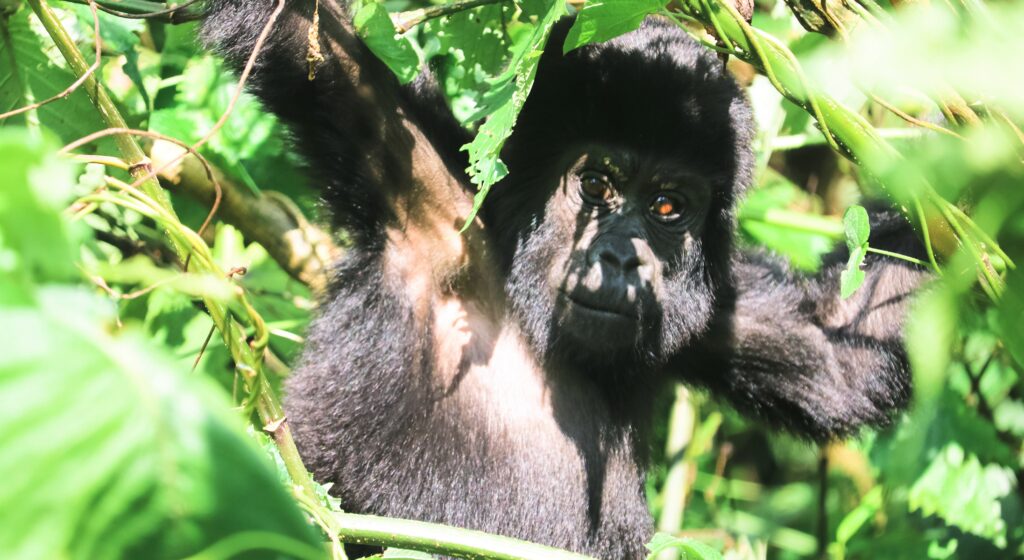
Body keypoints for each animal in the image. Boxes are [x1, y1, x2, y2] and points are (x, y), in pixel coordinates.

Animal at [201, 2, 929, 556]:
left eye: (668, 207)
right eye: (597, 185)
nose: (622, 261)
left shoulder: (715, 304)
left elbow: (842, 349)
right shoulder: (428, 204)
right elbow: (301, 38)